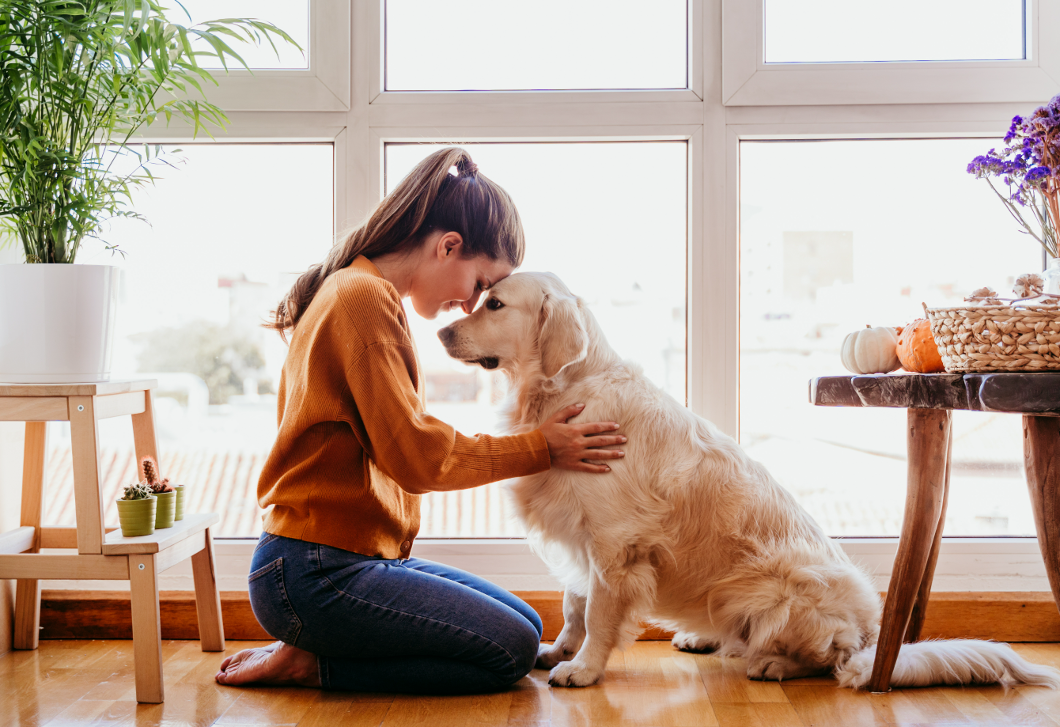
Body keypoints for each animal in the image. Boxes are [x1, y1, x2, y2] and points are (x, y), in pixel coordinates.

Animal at [434, 271, 1055, 690]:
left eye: (494, 304)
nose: (439, 333)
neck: (562, 391)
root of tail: (872, 635)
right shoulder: (580, 535)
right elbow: (573, 603)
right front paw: (559, 650)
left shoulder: (614, 543)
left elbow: (600, 613)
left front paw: (583, 668)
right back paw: (704, 635)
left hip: (774, 586)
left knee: (827, 659)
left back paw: (773, 663)